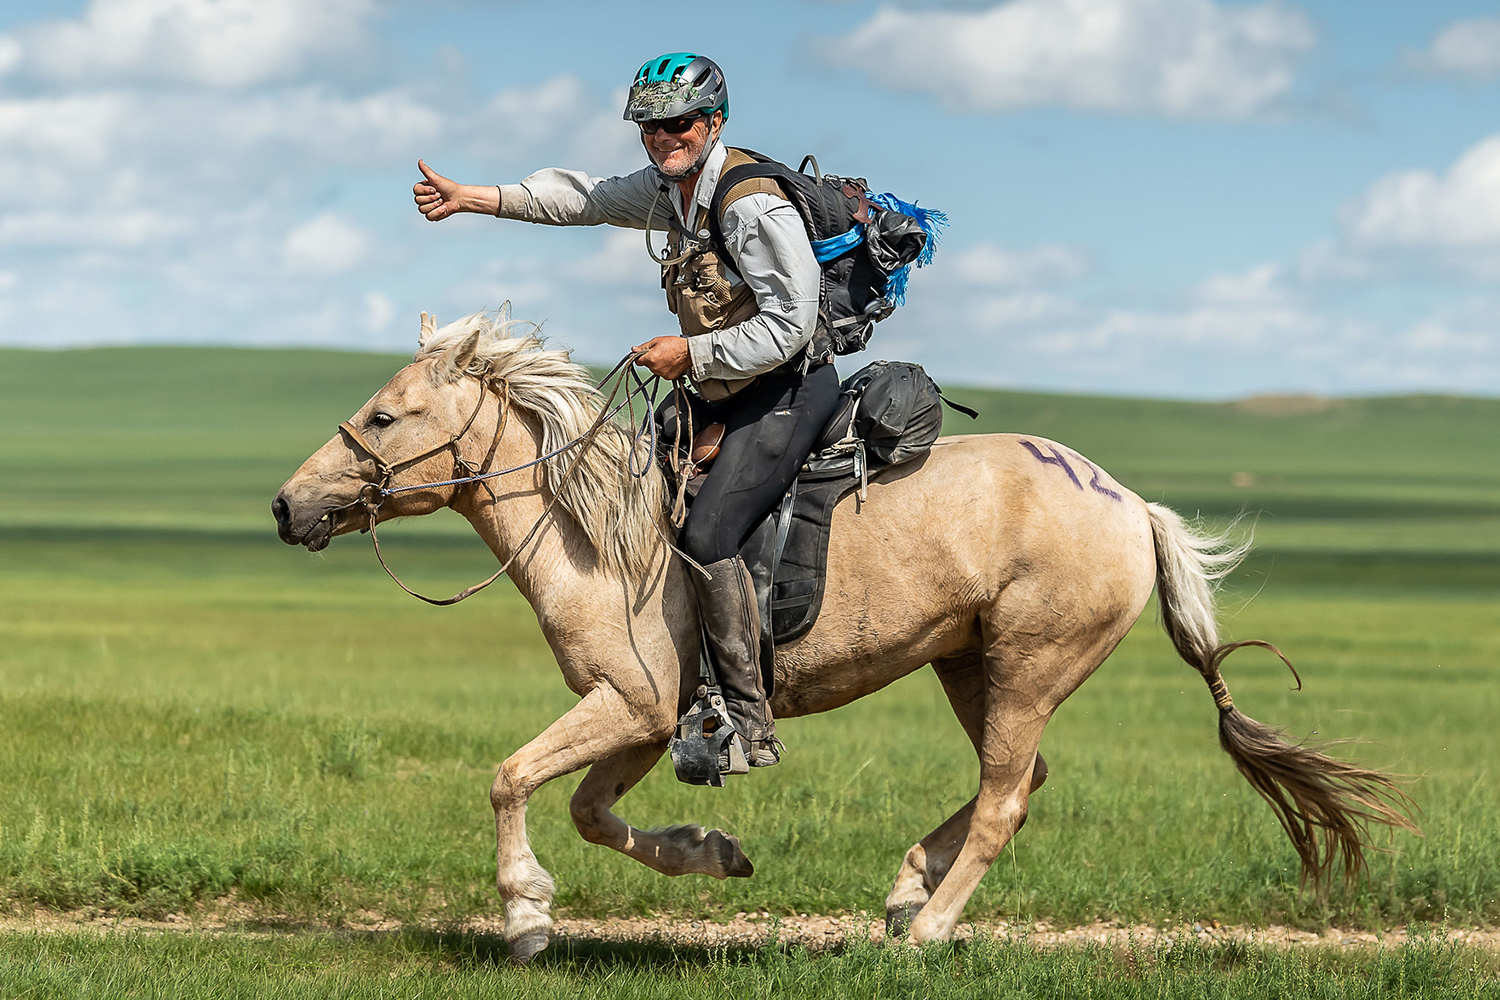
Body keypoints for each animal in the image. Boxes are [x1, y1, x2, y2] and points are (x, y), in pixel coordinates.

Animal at [272, 311, 1413, 961]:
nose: (287, 508)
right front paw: (716, 853)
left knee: (1006, 799)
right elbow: (593, 813)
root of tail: (1134, 508)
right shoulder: (645, 719)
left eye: (385, 417)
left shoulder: (626, 704)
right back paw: (908, 889)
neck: (599, 532)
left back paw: (928, 935)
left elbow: (509, 778)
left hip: (1026, 667)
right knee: (1019, 785)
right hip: (971, 666)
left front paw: (525, 918)